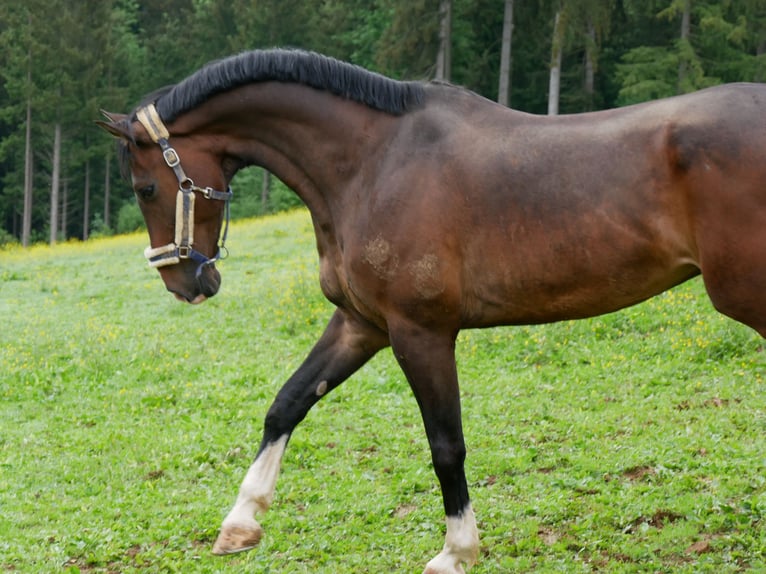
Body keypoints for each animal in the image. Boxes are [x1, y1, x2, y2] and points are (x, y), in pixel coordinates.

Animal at [99, 49, 766, 574]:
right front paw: (241, 522)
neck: (372, 163)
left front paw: (457, 551)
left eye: (146, 188)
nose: (187, 282)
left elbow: (446, 444)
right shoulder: (362, 325)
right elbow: (286, 403)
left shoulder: (421, 332)